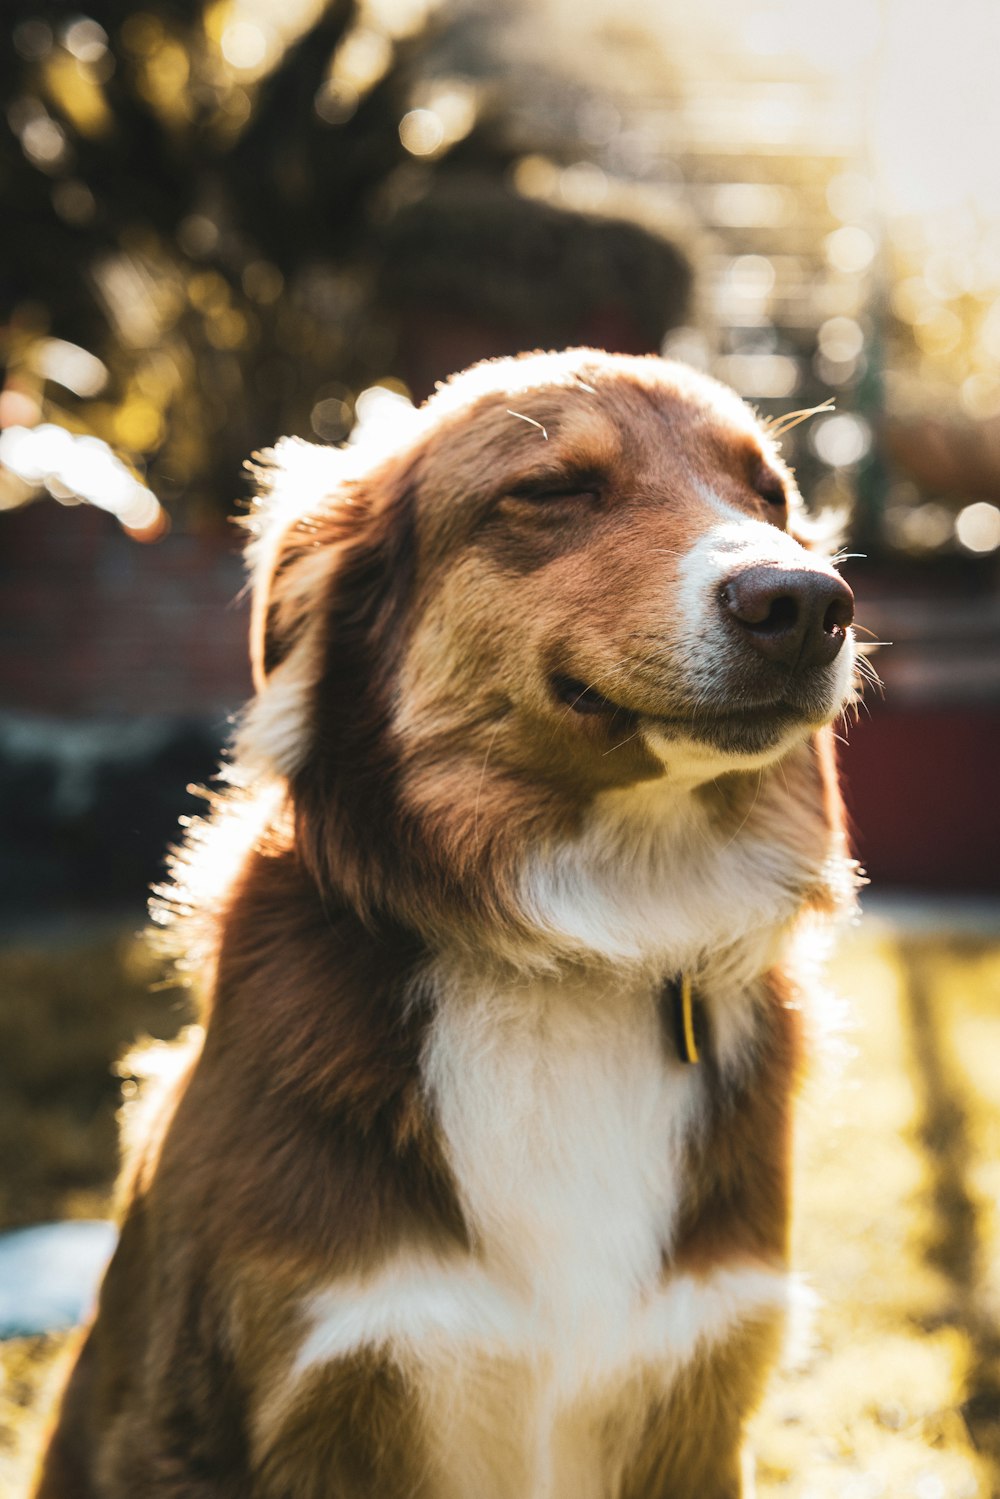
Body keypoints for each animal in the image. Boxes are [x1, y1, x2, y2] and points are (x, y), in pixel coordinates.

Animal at [33, 350, 863, 1499]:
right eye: (553, 488)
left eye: (768, 499)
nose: (809, 602)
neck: (582, 944)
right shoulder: (236, 1403)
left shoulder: (699, 1390)